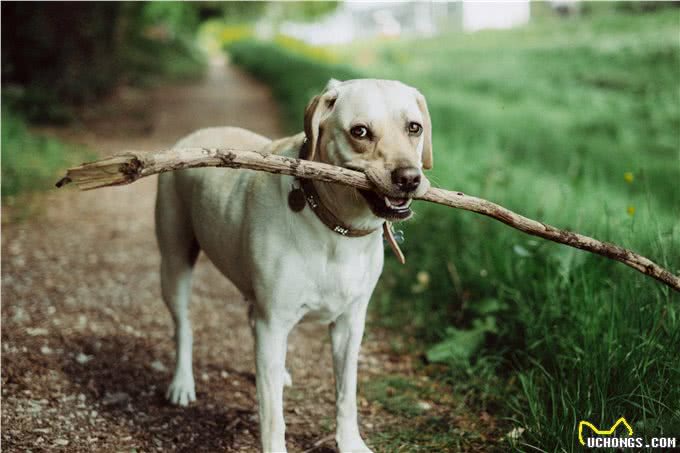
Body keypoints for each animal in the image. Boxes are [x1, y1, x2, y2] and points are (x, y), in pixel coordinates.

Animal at [154, 78, 430, 452]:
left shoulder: (350, 324)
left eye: (414, 127)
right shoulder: (274, 322)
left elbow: (346, 395)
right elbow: (273, 416)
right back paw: (182, 383)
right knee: (184, 326)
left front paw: (350, 442)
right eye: (360, 131)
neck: (335, 228)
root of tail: (193, 136)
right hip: (175, 263)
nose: (409, 178)